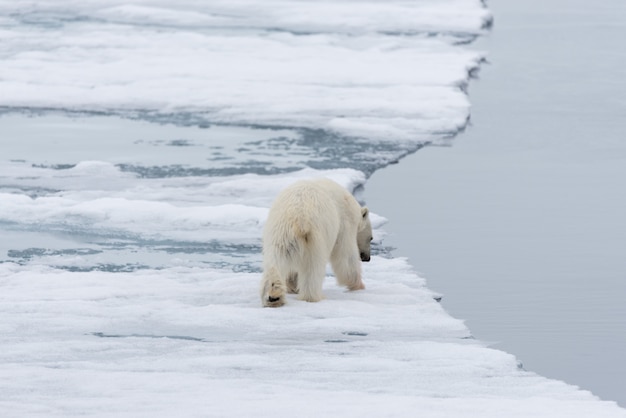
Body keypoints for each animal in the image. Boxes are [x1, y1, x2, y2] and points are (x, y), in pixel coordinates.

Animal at [258, 177, 370, 306]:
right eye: (370, 238)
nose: (367, 257)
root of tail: (300, 219)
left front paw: (292, 287)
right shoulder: (345, 223)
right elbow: (346, 257)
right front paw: (359, 285)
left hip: (279, 236)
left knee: (275, 262)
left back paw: (273, 296)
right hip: (315, 239)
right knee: (313, 269)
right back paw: (312, 297)